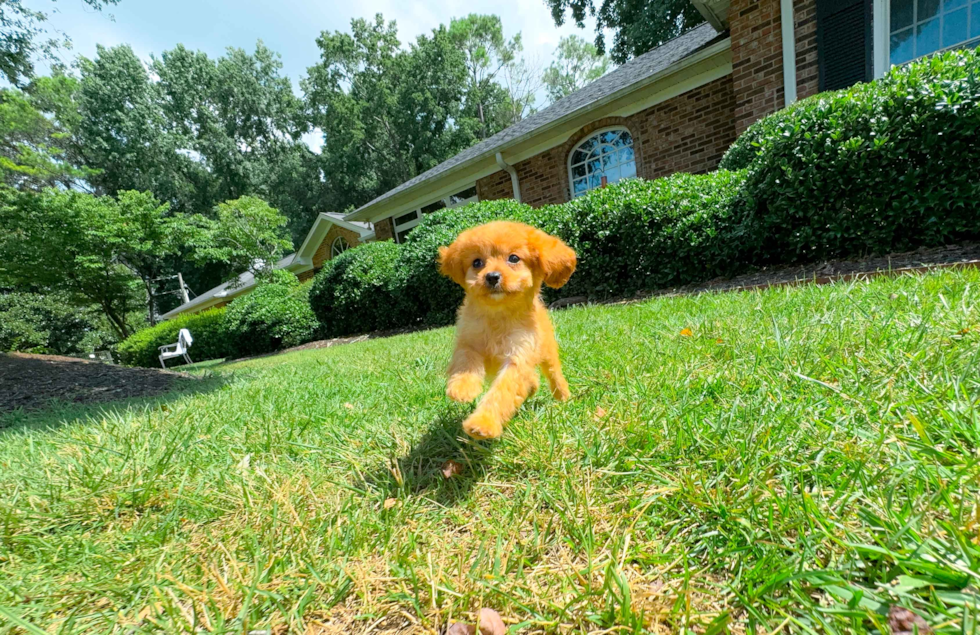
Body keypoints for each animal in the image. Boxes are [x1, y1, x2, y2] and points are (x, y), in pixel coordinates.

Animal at [440, 221, 580, 440]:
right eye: (477, 262)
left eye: (513, 258)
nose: (492, 277)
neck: (498, 315)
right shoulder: (469, 341)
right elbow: (465, 362)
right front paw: (462, 388)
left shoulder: (518, 356)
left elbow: (502, 393)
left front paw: (483, 423)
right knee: (532, 378)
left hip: (547, 351)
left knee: (554, 373)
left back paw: (562, 396)